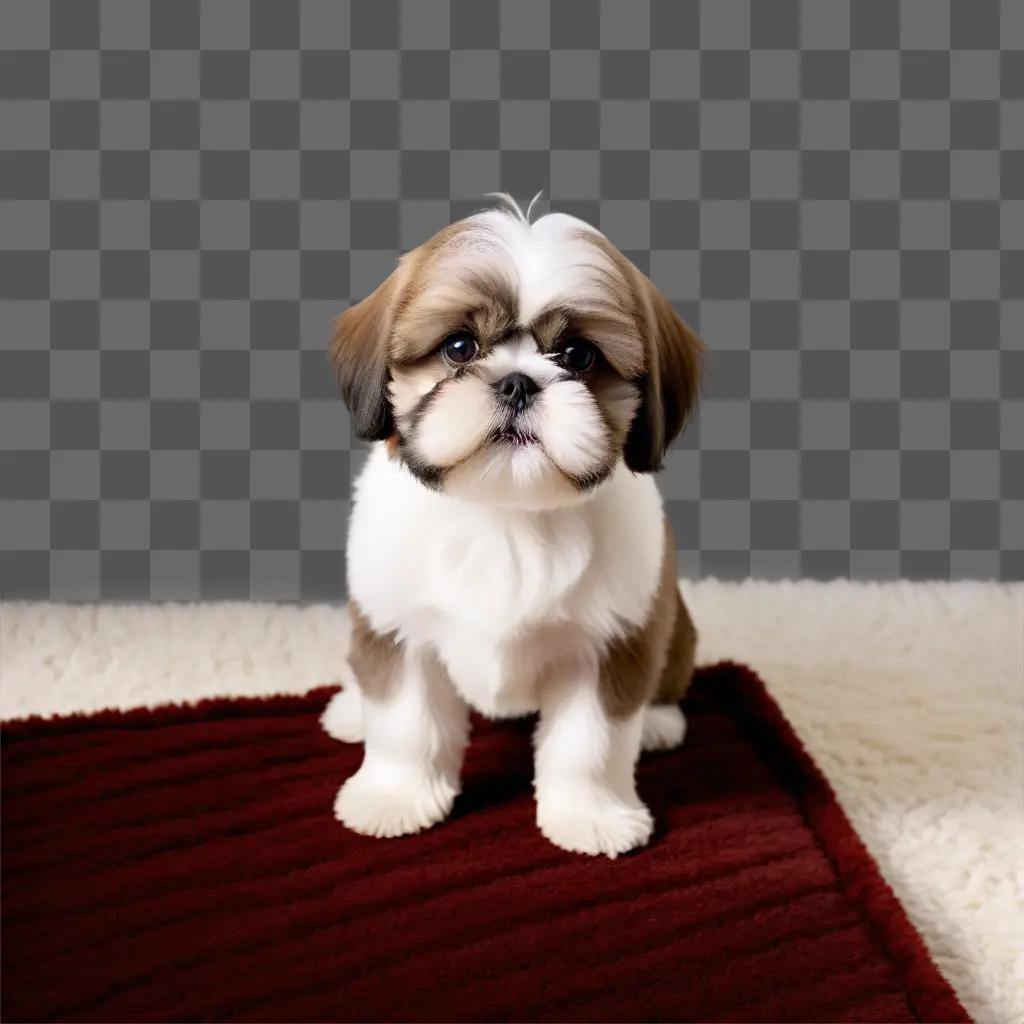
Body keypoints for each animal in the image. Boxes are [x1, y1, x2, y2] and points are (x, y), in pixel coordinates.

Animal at [319, 195, 704, 860]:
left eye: (578, 356)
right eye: (459, 347)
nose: (518, 381)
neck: (505, 515)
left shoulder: (607, 642)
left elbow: (589, 743)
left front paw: (589, 815)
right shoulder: (398, 627)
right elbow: (405, 723)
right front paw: (395, 797)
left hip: (672, 617)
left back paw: (658, 719)